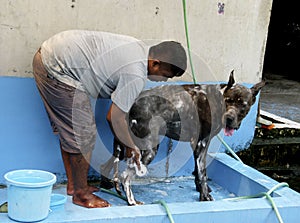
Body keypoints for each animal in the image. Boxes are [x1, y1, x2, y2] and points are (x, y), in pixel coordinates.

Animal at [101, 70, 264, 205]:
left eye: (243, 105)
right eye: (228, 101)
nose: (229, 118)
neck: (218, 97)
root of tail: (130, 106)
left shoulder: (198, 145)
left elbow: (197, 172)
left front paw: (200, 188)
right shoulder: (201, 144)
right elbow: (203, 174)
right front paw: (205, 196)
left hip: (123, 150)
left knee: (107, 167)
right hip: (148, 151)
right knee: (125, 177)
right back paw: (131, 201)